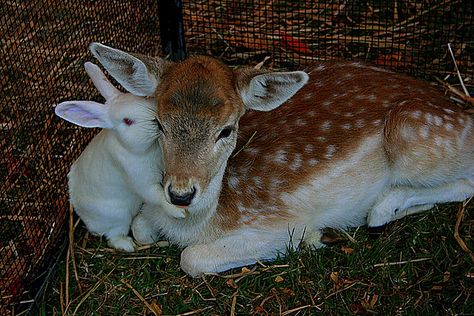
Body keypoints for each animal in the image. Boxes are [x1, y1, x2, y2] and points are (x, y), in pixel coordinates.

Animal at [53, 61, 183, 252]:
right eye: (128, 121)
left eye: (145, 99)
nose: (156, 119)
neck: (149, 148)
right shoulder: (142, 180)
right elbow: (157, 195)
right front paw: (179, 211)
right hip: (118, 217)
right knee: (113, 237)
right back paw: (128, 245)